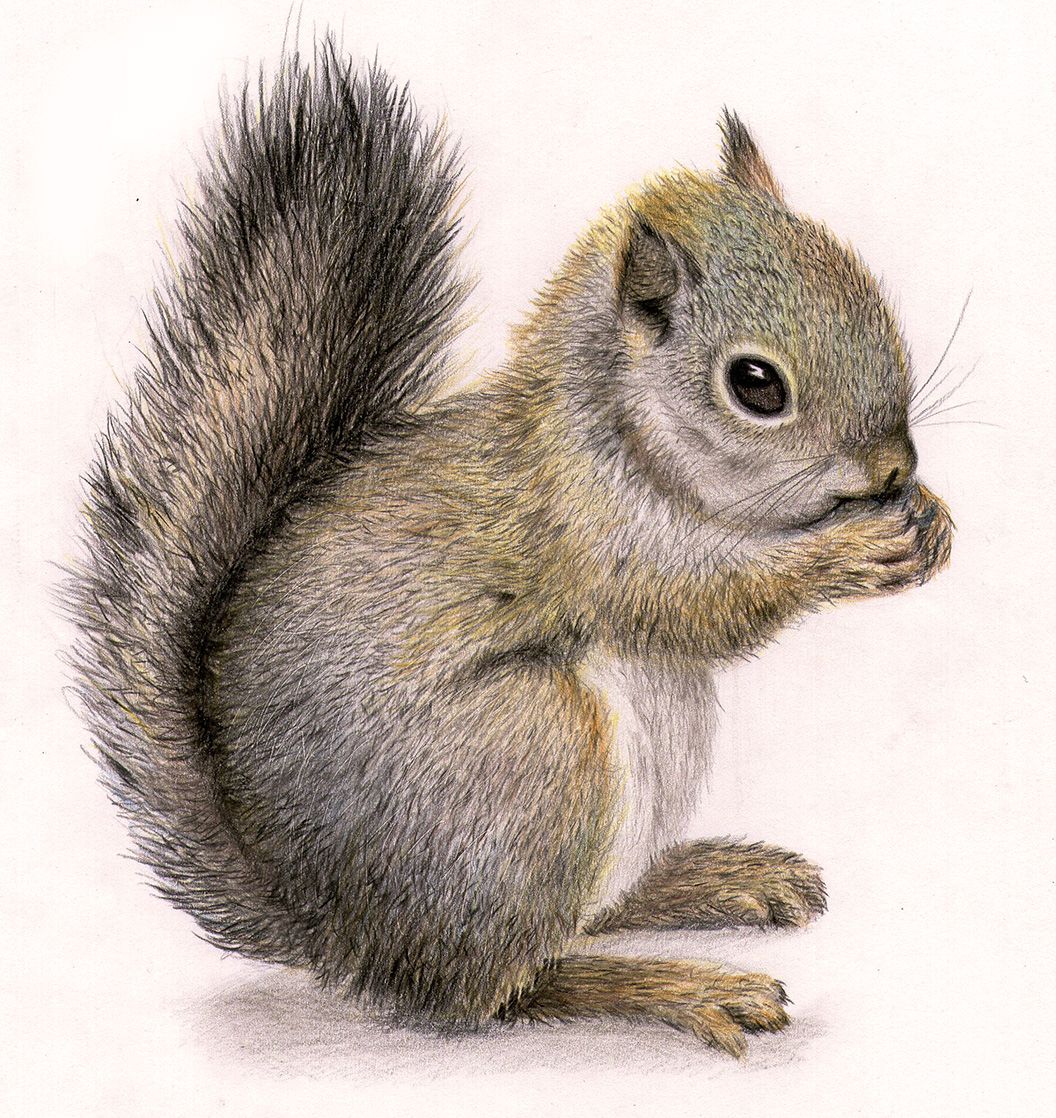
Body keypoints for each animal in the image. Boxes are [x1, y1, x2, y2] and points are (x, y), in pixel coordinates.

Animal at [67, 41, 953, 1057]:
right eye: (756, 385)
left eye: (868, 288)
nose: (894, 466)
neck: (620, 433)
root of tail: (338, 937)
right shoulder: (590, 532)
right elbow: (699, 603)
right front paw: (846, 555)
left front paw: (931, 517)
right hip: (532, 757)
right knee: (503, 989)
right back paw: (676, 986)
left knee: (583, 918)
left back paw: (714, 879)